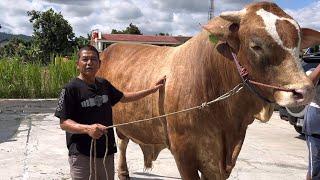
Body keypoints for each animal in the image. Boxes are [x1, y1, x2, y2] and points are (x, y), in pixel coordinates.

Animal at [97, 2, 320, 179]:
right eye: (255, 45)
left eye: (298, 44)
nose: (304, 91)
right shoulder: (183, 154)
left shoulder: (221, 158)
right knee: (121, 143)